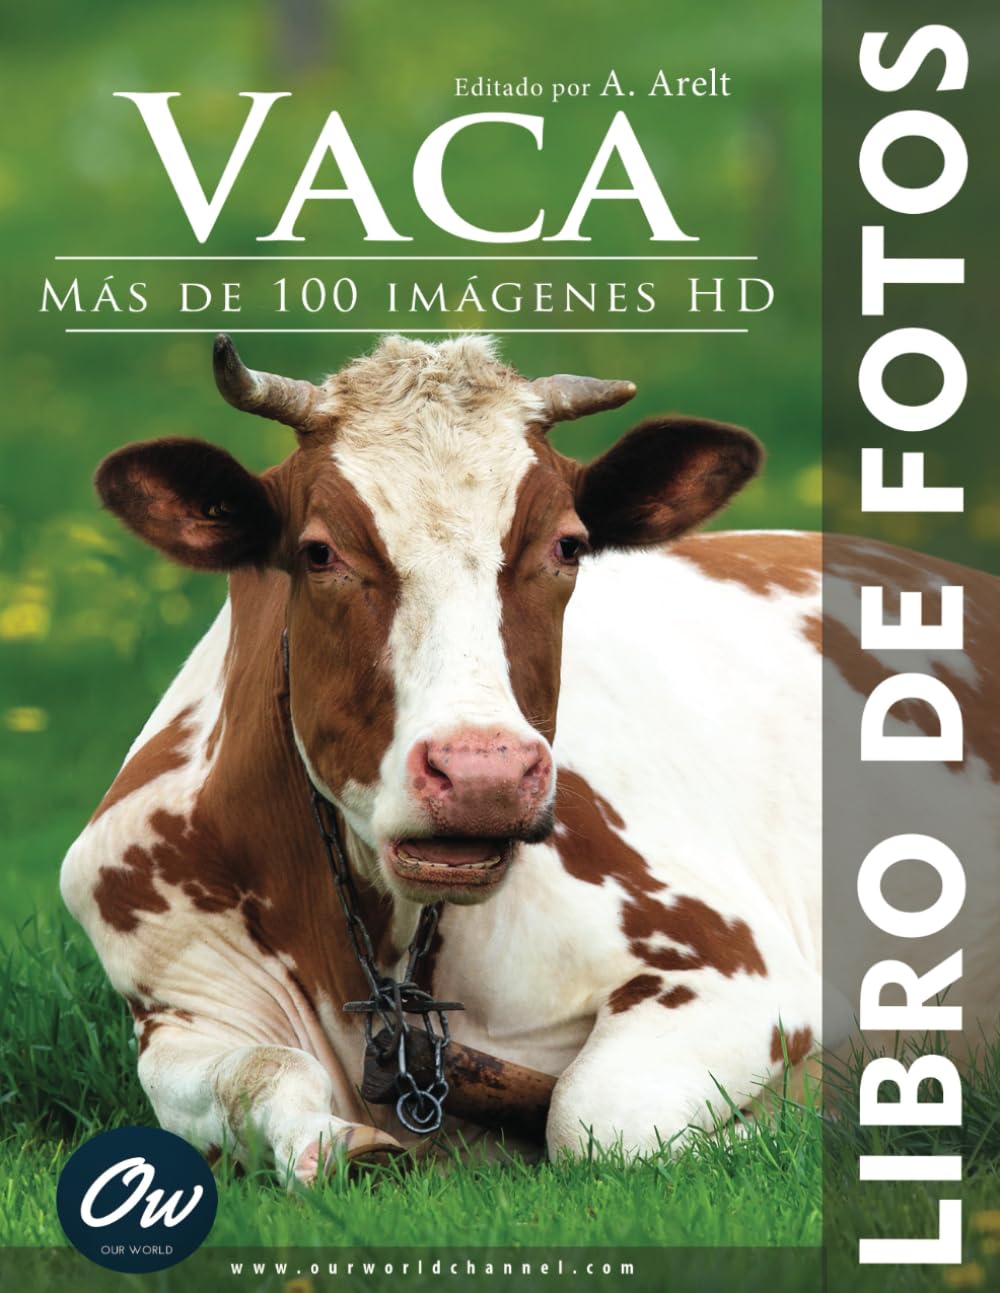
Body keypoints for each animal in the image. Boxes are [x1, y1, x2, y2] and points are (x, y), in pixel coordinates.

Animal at [60, 334, 999, 1186]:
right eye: (320, 551)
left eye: (569, 545)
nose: (484, 774)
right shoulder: (183, 1005)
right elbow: (262, 1080)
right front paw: (346, 1145)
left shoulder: (743, 973)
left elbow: (594, 1116)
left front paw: (809, 1124)